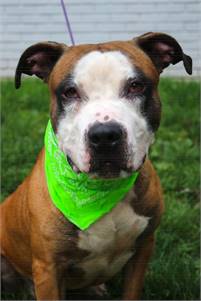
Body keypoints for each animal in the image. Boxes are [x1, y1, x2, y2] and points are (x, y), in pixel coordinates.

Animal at [0, 31, 192, 298]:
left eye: (136, 86)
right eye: (69, 92)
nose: (104, 135)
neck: (101, 190)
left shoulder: (143, 250)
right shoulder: (48, 268)